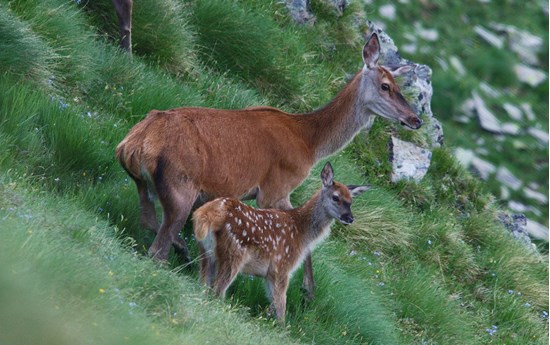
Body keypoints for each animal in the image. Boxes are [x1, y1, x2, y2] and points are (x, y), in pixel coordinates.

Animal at [116, 33, 424, 300]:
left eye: (400, 86)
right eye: (386, 86)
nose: (415, 119)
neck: (309, 144)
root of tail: (134, 144)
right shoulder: (275, 188)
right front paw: (307, 291)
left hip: (145, 183)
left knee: (148, 220)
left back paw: (184, 251)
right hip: (181, 185)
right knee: (158, 247)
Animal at [194, 161, 370, 322]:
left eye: (351, 201)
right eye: (336, 197)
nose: (350, 218)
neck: (301, 233)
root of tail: (208, 213)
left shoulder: (269, 274)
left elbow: (273, 305)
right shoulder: (281, 267)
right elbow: (281, 309)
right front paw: (281, 329)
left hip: (206, 251)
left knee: (203, 285)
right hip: (234, 253)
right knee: (217, 291)